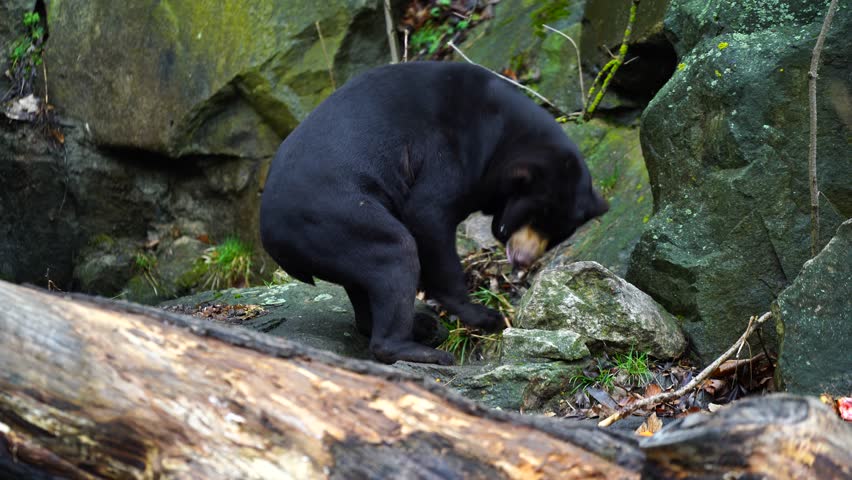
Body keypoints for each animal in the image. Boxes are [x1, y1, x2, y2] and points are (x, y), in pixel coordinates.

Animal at [260, 61, 608, 365]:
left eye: (555, 234)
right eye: (532, 217)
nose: (523, 261)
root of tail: (270, 237)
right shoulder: (450, 153)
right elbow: (428, 217)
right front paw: (486, 316)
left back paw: (422, 327)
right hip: (337, 220)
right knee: (396, 252)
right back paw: (426, 350)